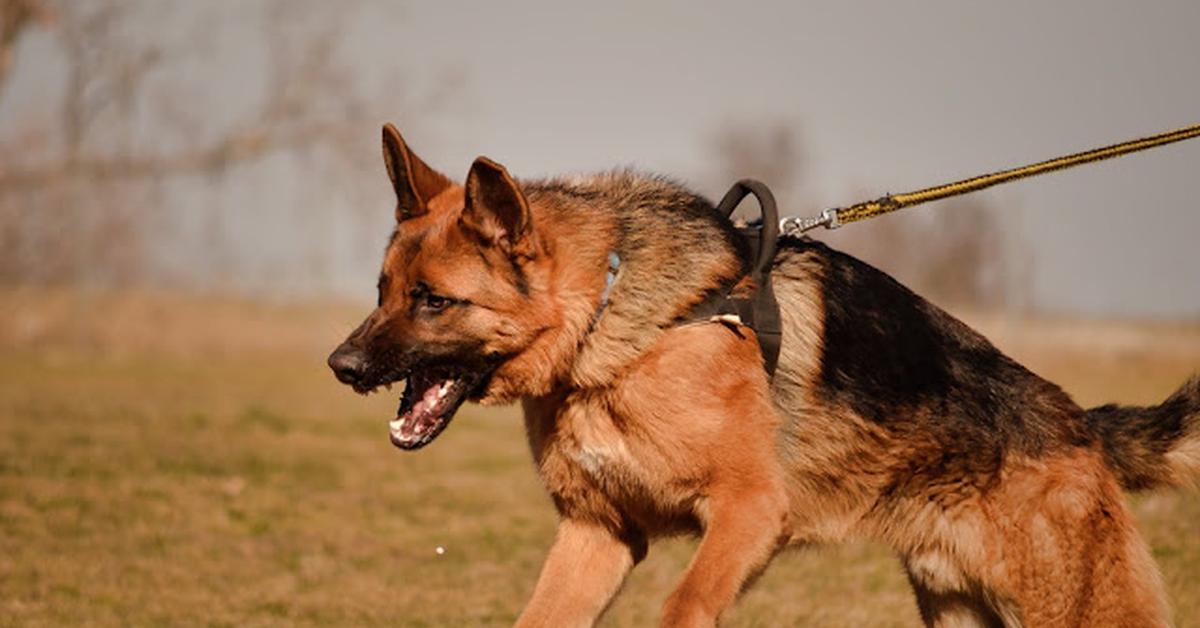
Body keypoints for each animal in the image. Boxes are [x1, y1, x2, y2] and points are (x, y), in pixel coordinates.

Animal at [328, 124, 1200, 628]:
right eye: (382, 291)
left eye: (434, 301)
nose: (340, 367)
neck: (613, 323)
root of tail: (1083, 426)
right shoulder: (598, 534)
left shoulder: (747, 512)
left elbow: (683, 606)